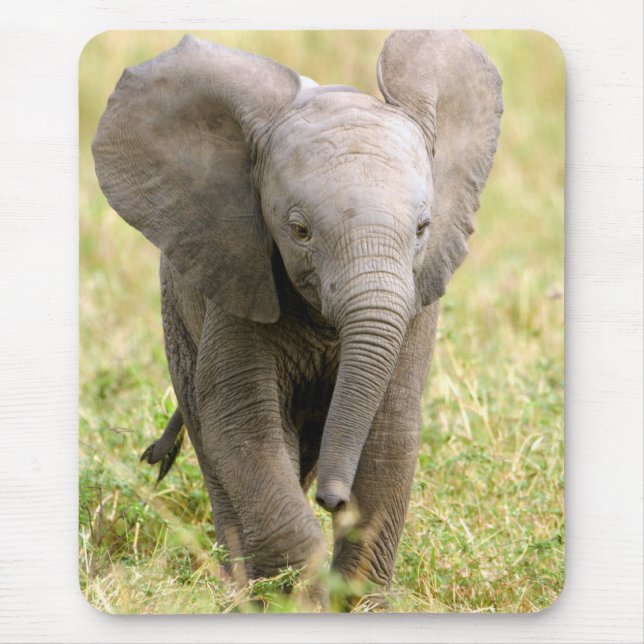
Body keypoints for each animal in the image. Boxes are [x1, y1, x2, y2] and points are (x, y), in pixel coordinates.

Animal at [92, 30, 502, 607]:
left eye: (423, 227)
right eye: (299, 231)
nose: (335, 499)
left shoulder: (418, 298)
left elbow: (392, 428)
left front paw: (360, 604)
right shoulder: (238, 275)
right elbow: (243, 425)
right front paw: (294, 598)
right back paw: (241, 590)